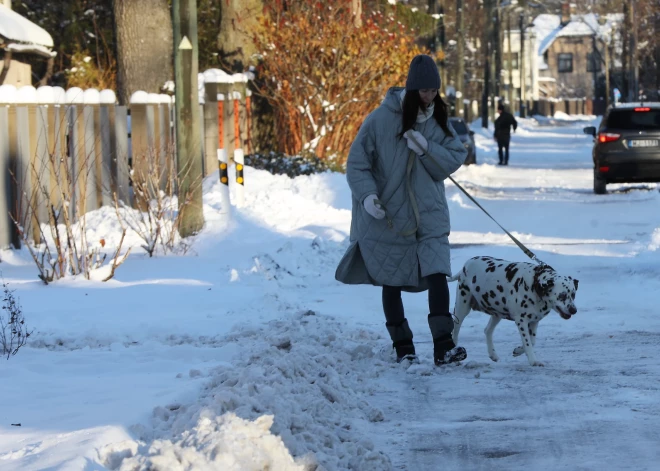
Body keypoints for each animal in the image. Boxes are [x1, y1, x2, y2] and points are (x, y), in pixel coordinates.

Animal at [448, 256, 576, 366]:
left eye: (573, 294)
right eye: (562, 295)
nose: (574, 310)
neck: (534, 284)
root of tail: (466, 264)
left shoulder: (534, 321)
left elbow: (532, 341)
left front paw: (518, 350)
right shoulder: (521, 321)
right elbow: (528, 342)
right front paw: (533, 361)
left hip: (497, 313)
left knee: (487, 330)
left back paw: (493, 354)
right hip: (462, 307)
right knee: (455, 331)